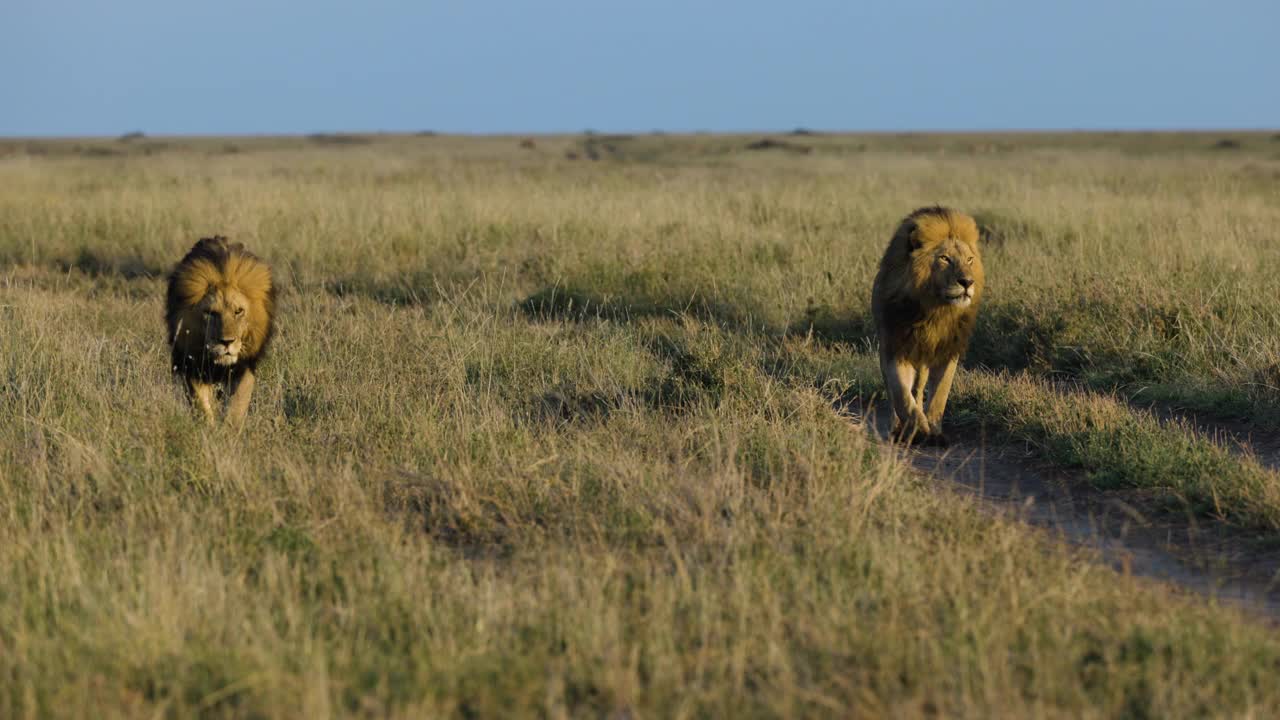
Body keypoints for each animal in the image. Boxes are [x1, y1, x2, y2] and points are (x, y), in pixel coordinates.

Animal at [166, 235, 276, 425]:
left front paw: (228, 430)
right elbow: (202, 405)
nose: (227, 342)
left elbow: (237, 404)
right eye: (211, 313)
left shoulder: (244, 366)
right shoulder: (192, 365)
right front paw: (208, 428)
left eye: (238, 311)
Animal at [875, 206, 983, 443]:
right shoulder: (896, 345)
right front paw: (918, 426)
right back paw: (897, 428)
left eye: (970, 260)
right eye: (944, 258)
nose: (967, 282)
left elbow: (940, 394)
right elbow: (901, 394)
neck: (935, 310)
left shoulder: (947, 350)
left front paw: (933, 431)